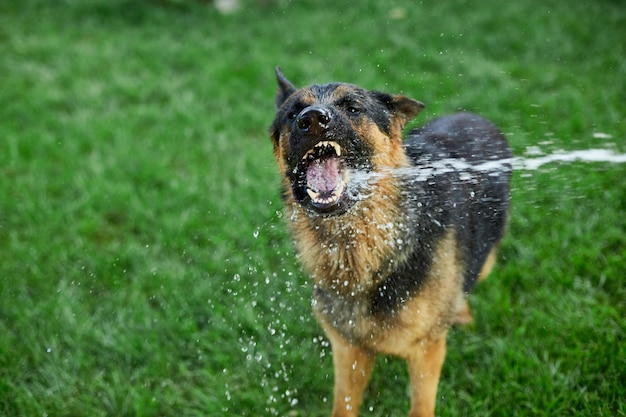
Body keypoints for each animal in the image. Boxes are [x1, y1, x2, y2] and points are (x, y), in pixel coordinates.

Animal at [268, 68, 512, 416]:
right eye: (293, 113)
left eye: (352, 107)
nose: (312, 119)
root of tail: (477, 118)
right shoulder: (348, 350)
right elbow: (343, 405)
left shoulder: (426, 351)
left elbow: (420, 407)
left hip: (486, 257)